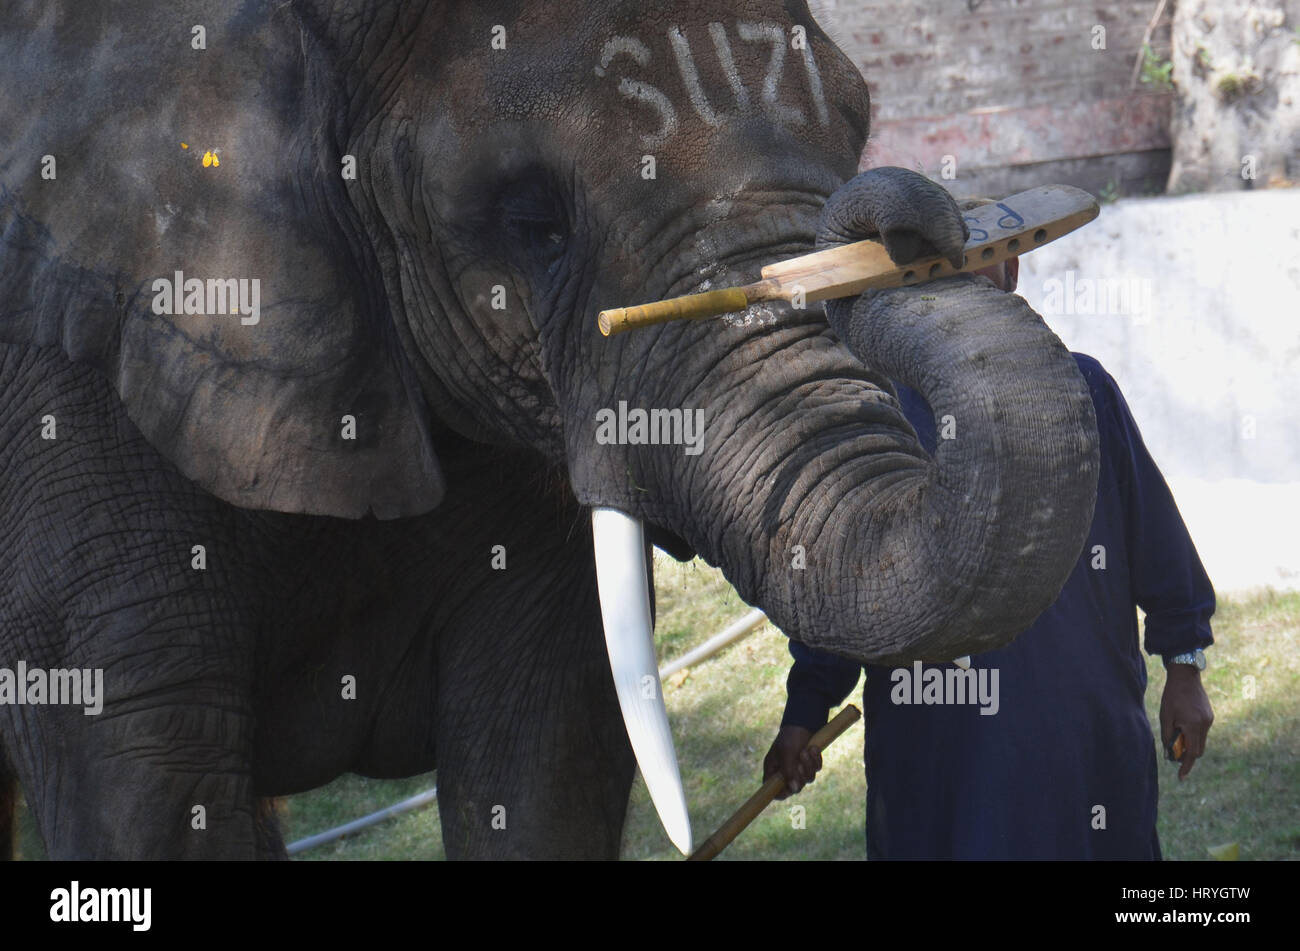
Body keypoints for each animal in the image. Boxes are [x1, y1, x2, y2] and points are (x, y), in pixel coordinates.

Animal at [0, 1, 1097, 862]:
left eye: (857, 122)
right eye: (531, 223)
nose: (910, 218)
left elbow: (542, 752)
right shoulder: (66, 377)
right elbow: (144, 779)